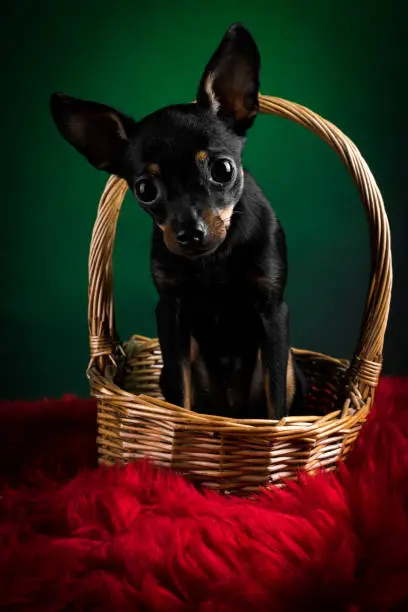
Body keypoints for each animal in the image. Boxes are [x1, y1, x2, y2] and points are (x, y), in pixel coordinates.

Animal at [51, 21, 304, 418]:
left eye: (223, 169)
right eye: (144, 189)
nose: (189, 233)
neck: (214, 259)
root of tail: (230, 411)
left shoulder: (272, 312)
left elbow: (274, 401)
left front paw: (274, 433)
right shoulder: (171, 313)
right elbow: (180, 394)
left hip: (290, 365)